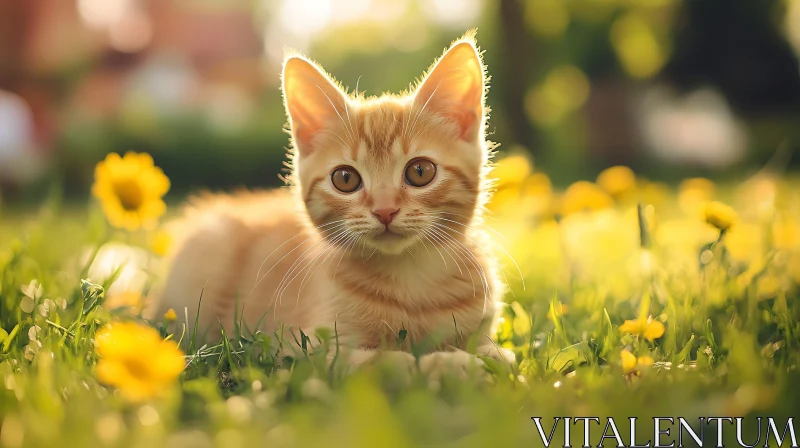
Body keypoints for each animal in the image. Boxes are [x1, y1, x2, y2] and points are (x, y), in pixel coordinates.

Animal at [152, 32, 512, 372]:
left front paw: (483, 359)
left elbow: (497, 354)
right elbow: (385, 363)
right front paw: (450, 365)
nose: (384, 210)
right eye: (345, 179)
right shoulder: (304, 349)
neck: (411, 280)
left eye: (420, 171)